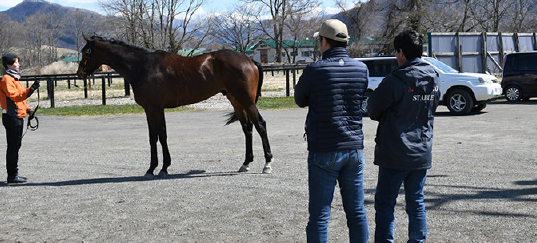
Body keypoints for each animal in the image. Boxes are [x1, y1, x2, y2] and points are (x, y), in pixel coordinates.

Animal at [75, 34, 272, 178]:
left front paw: (151, 169)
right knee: (247, 128)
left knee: (260, 125)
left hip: (246, 101)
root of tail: (249, 60)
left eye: (86, 51)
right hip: (236, 100)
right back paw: (245, 163)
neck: (142, 66)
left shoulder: (151, 108)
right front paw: (164, 167)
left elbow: (153, 137)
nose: (79, 73)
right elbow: (162, 135)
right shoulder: (158, 109)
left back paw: (267, 164)